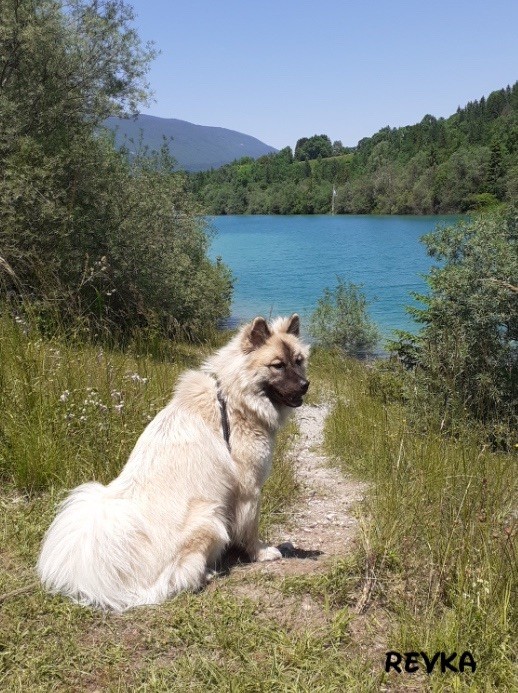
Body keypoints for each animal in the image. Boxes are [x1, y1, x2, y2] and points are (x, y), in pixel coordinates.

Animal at [39, 314, 312, 612]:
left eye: (299, 361)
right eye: (278, 365)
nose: (305, 385)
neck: (232, 400)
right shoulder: (249, 490)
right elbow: (250, 530)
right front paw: (262, 552)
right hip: (209, 517)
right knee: (177, 577)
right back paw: (206, 572)